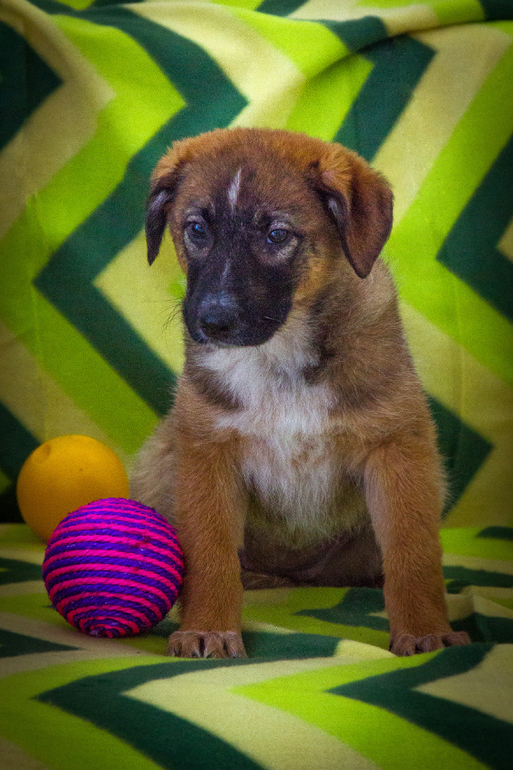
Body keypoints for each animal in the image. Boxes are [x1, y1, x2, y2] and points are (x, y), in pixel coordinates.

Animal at [131, 127, 470, 658]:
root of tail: (295, 574)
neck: (279, 354)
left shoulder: (397, 448)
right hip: (157, 461)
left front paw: (425, 632)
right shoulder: (207, 451)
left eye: (277, 235)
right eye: (196, 229)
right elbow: (209, 554)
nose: (212, 321)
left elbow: (412, 553)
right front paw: (208, 627)